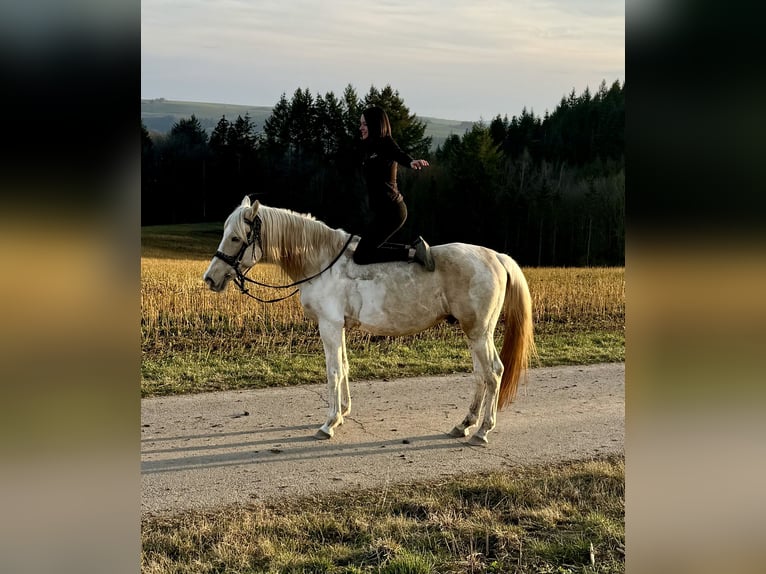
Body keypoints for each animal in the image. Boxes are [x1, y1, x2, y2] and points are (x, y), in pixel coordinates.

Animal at [206, 198, 540, 446]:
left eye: (235, 237)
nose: (210, 278)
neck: (322, 262)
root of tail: (496, 256)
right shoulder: (338, 327)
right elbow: (344, 368)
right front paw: (342, 413)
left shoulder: (328, 326)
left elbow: (333, 372)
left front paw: (329, 423)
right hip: (473, 333)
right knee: (481, 376)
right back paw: (465, 424)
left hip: (479, 332)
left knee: (493, 373)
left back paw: (483, 431)